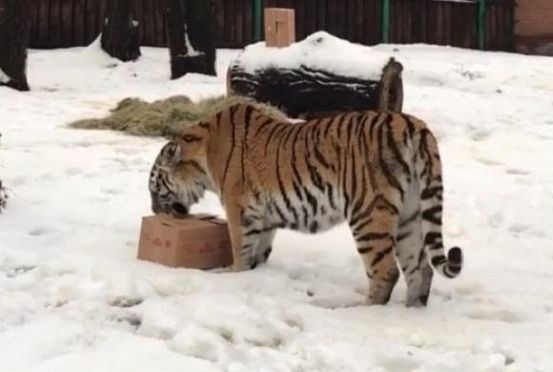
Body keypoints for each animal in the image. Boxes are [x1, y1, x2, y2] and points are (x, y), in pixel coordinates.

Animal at [147, 102, 462, 308]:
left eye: (154, 188)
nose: (153, 212)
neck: (201, 156)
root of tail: (415, 126)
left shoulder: (239, 209)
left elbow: (240, 249)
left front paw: (230, 275)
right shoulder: (264, 216)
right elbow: (259, 250)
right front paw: (252, 274)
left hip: (368, 214)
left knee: (387, 271)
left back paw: (359, 310)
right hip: (410, 215)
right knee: (421, 269)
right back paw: (412, 309)